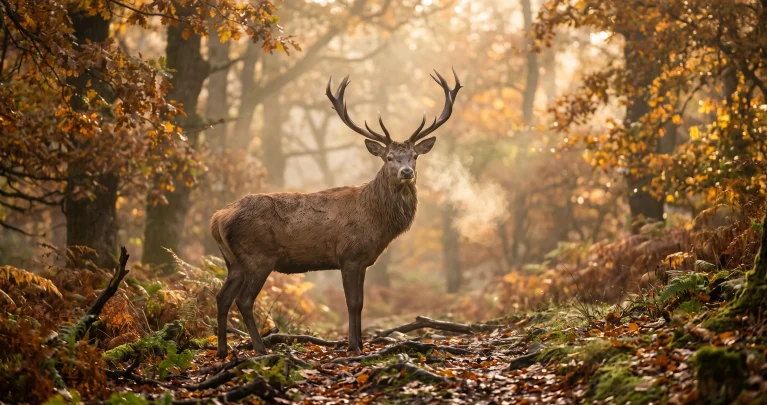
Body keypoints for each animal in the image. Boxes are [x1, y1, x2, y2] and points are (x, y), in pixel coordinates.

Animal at [210, 68, 462, 358]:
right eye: (388, 157)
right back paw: (261, 350)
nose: (406, 172)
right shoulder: (348, 254)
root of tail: (218, 218)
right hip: (257, 256)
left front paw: (361, 343)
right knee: (244, 300)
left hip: (234, 261)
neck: (377, 222)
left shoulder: (363, 260)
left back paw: (222, 350)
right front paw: (353, 346)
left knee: (222, 297)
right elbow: (352, 302)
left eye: (414, 156)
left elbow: (361, 302)